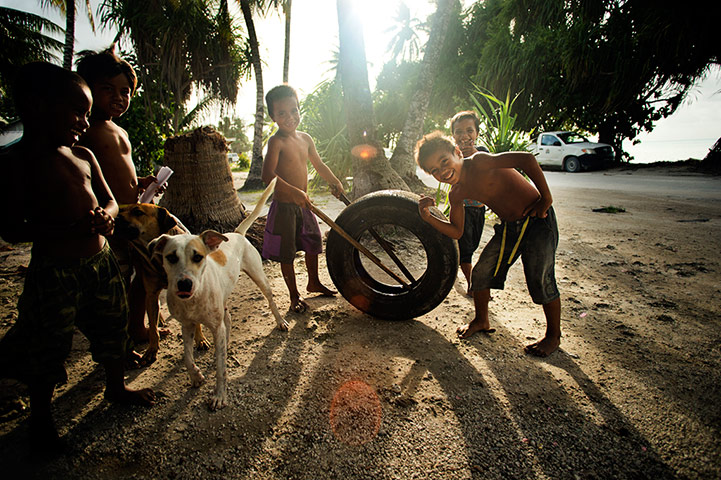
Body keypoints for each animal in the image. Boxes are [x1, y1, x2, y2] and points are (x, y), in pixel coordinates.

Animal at [113, 202, 208, 364]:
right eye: (121, 210)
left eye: (138, 212)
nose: (115, 217)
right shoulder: (151, 293)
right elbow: (152, 326)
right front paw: (152, 349)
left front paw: (200, 339)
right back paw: (160, 322)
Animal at [152, 178, 286, 410]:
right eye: (170, 257)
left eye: (198, 257)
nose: (184, 284)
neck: (194, 299)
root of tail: (237, 234)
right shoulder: (187, 325)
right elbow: (187, 357)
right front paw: (196, 376)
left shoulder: (214, 327)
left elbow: (220, 368)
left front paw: (219, 396)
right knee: (228, 318)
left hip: (259, 276)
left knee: (270, 300)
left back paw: (280, 322)